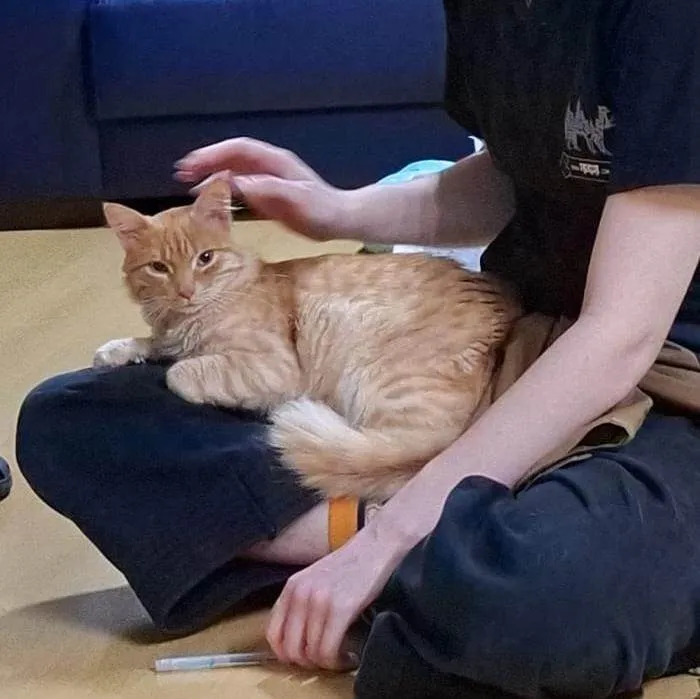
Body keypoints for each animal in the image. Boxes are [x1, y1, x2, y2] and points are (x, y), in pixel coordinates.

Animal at [95, 179, 521, 500]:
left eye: (205, 259)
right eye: (158, 267)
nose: (185, 292)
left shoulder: (273, 366)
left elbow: (179, 372)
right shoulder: (171, 338)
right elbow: (156, 346)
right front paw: (117, 350)